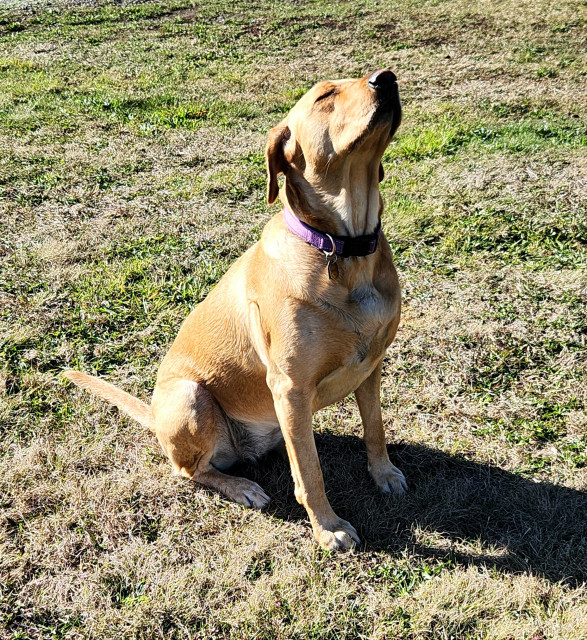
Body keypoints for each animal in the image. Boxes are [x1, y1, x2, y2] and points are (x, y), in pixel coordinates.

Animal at [63, 69, 404, 552]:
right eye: (325, 95)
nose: (386, 77)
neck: (343, 249)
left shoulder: (372, 366)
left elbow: (374, 428)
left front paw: (384, 473)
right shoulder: (289, 387)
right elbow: (311, 474)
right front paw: (328, 527)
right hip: (190, 397)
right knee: (191, 471)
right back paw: (241, 486)